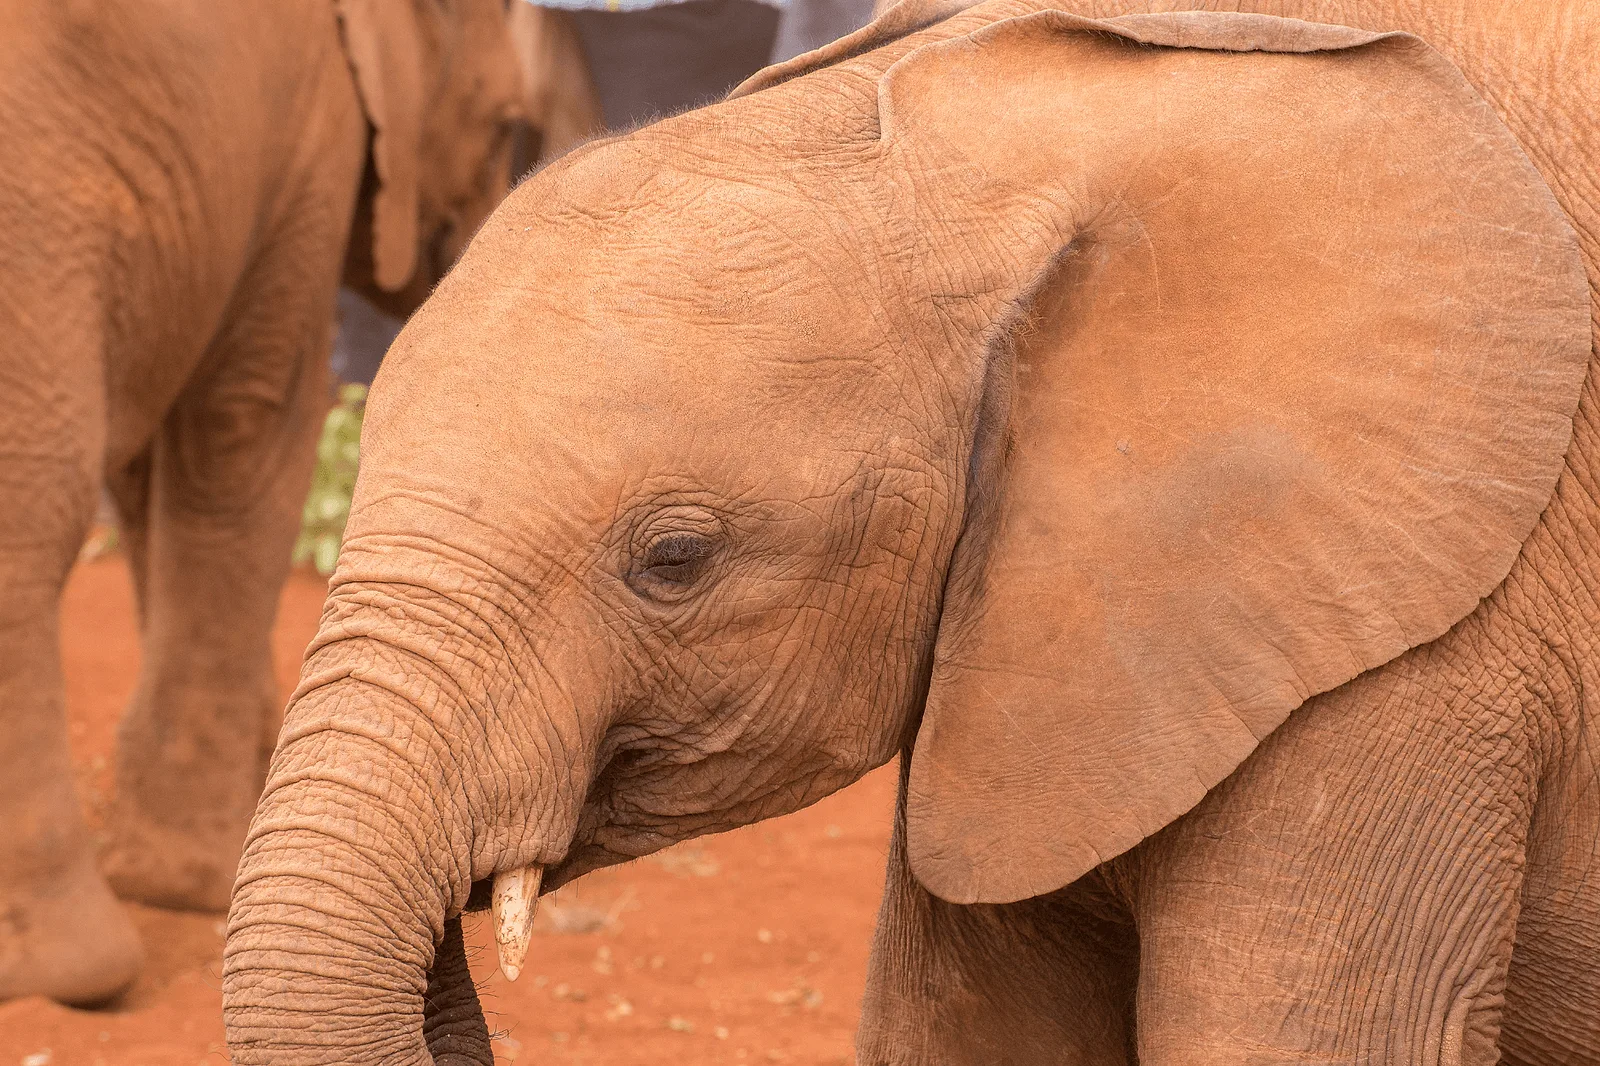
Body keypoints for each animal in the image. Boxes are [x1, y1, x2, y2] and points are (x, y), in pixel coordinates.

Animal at [0, 0, 523, 1007]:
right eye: (510, 122)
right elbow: (248, 422)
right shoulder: (310, 136)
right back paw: (71, 970)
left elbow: (155, 477)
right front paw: (192, 884)